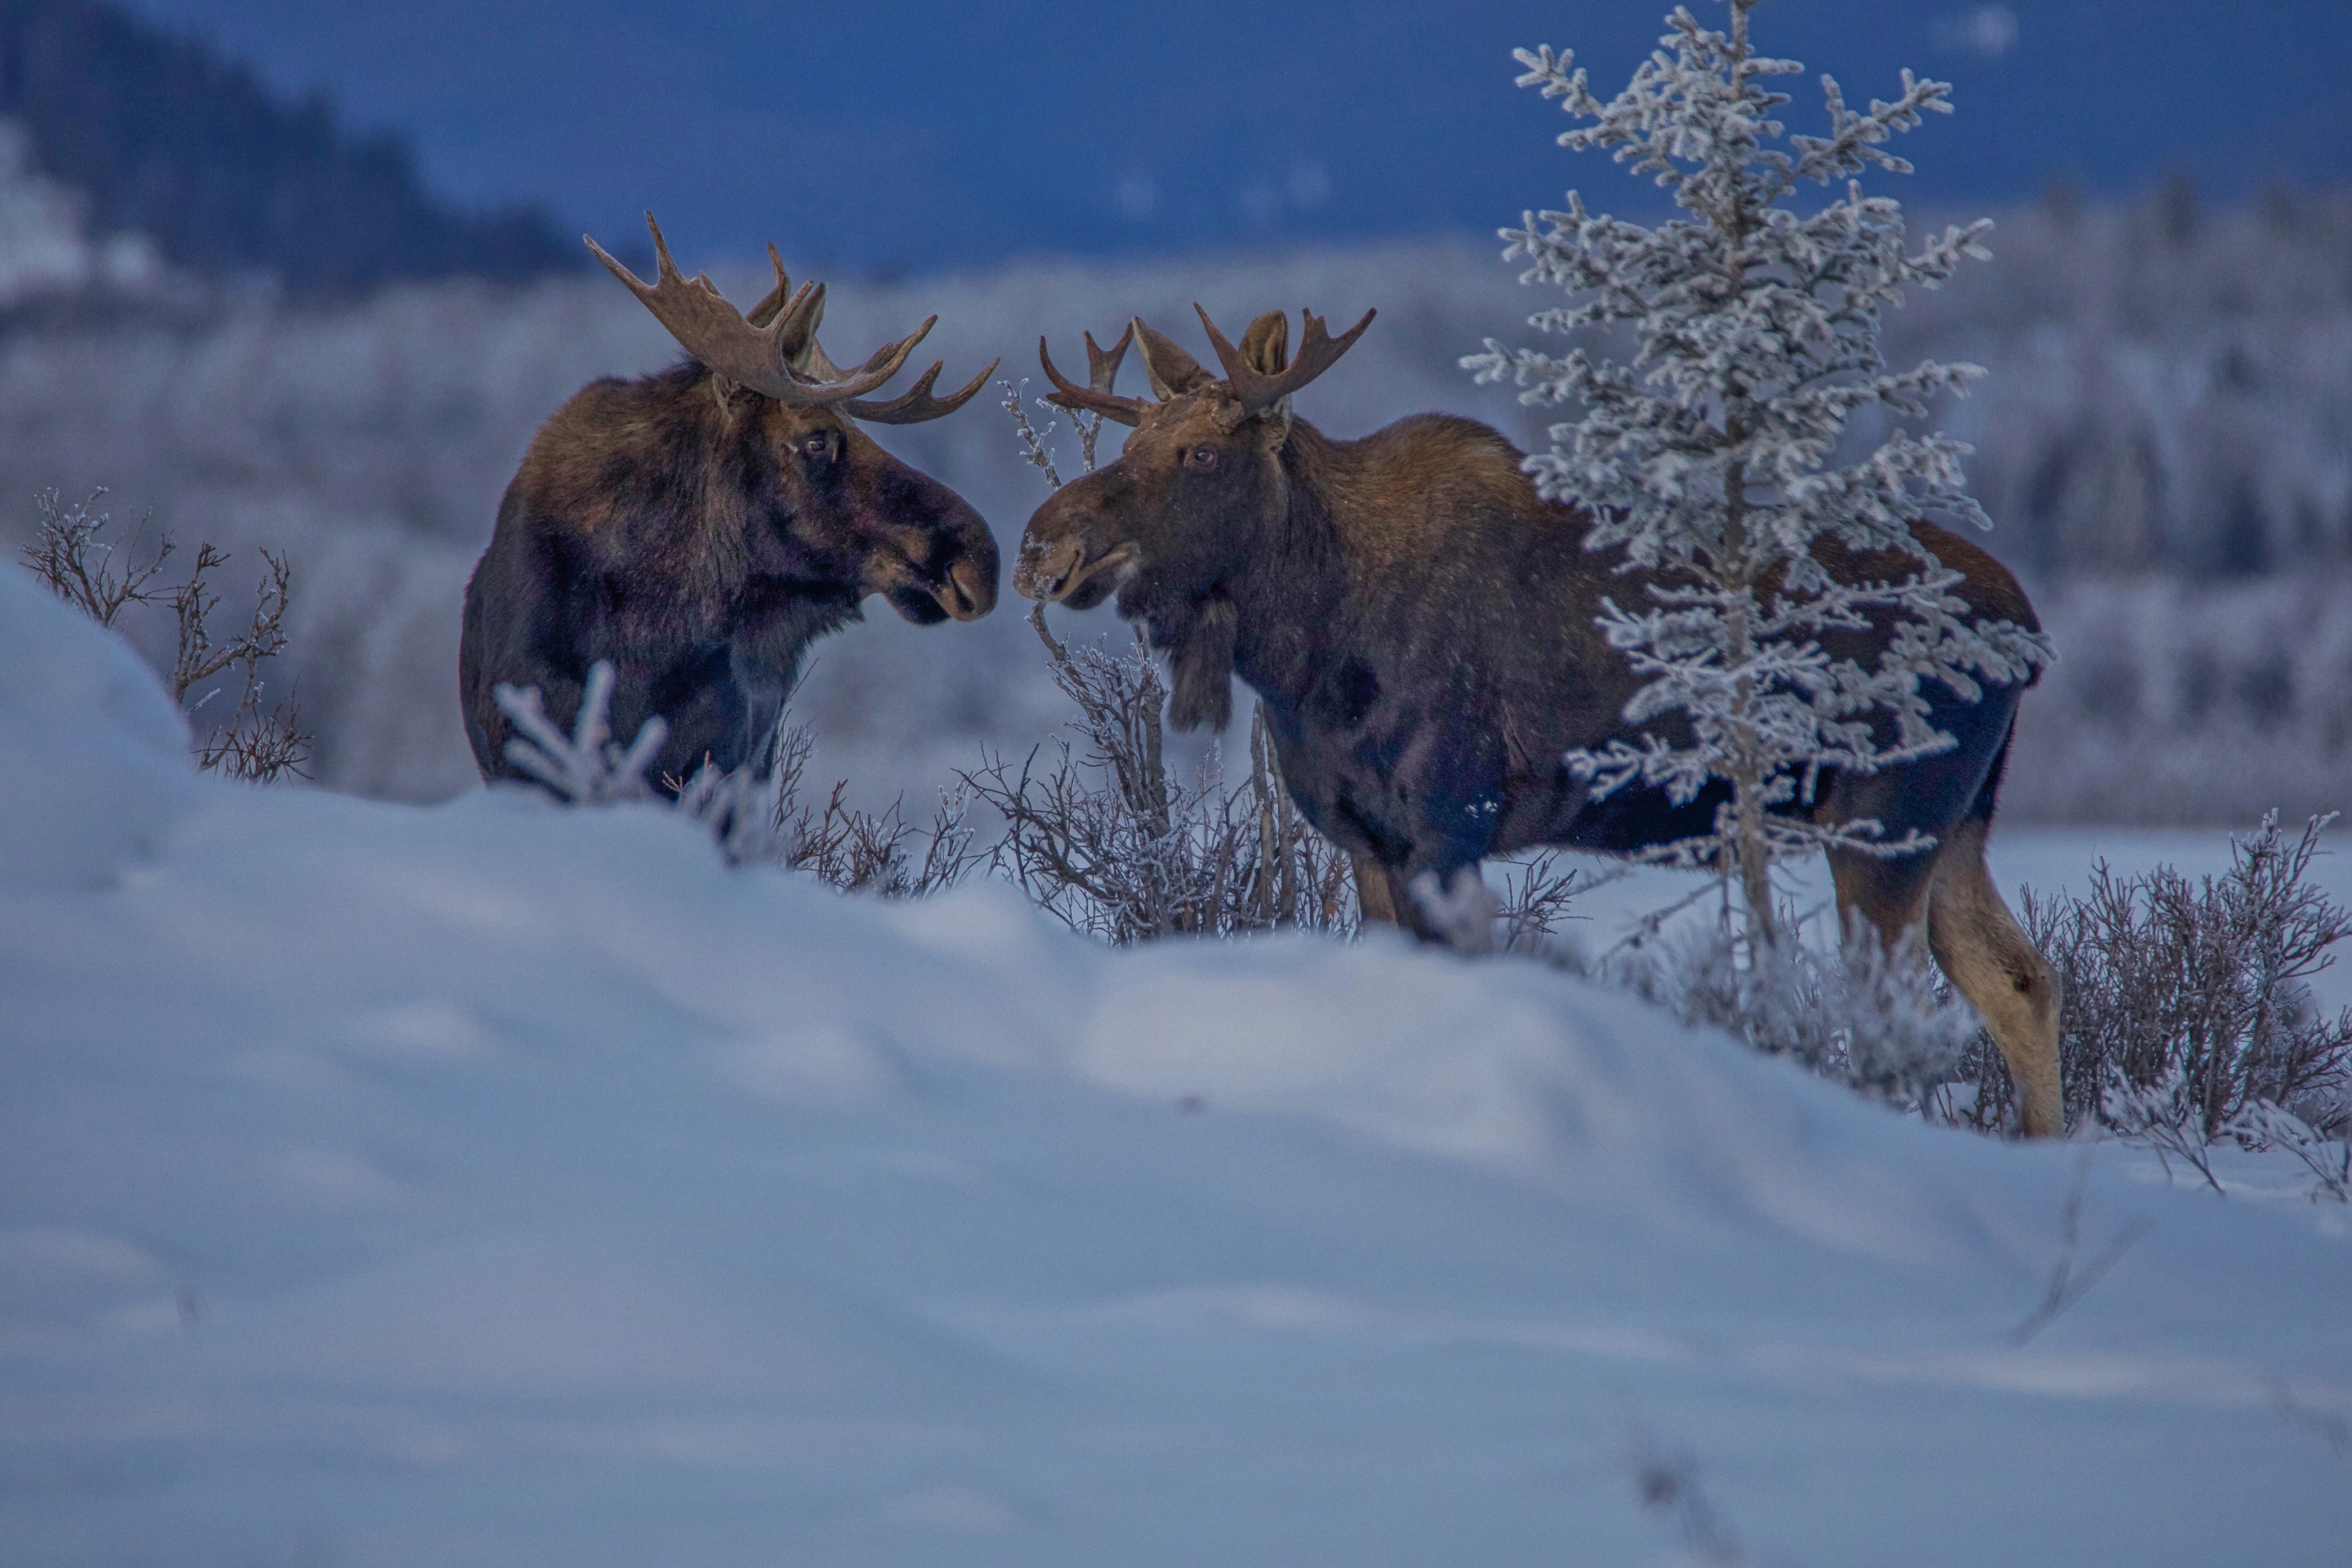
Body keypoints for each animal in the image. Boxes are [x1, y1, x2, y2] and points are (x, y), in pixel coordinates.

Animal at [1020, 310, 2069, 1142]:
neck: (1304, 648)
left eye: (1198, 454)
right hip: (1958, 824)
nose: (1041, 544)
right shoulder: (1364, 836)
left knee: (1900, 1005)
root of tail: (2030, 633)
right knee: (2019, 981)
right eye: (1129, 447)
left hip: (1885, 820)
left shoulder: (1450, 818)